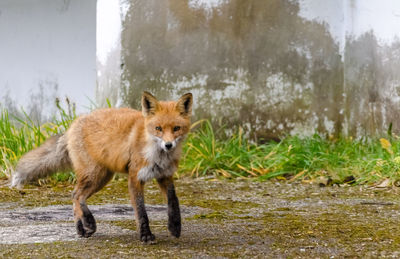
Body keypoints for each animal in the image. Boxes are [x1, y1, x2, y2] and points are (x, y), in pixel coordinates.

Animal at [11, 92, 193, 244]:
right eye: (158, 129)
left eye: (176, 128)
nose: (168, 145)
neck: (156, 153)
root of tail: (73, 124)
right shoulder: (135, 177)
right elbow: (141, 211)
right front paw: (146, 236)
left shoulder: (164, 175)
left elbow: (173, 200)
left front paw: (175, 227)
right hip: (94, 174)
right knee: (77, 195)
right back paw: (87, 223)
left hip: (103, 177)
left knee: (77, 196)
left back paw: (82, 227)